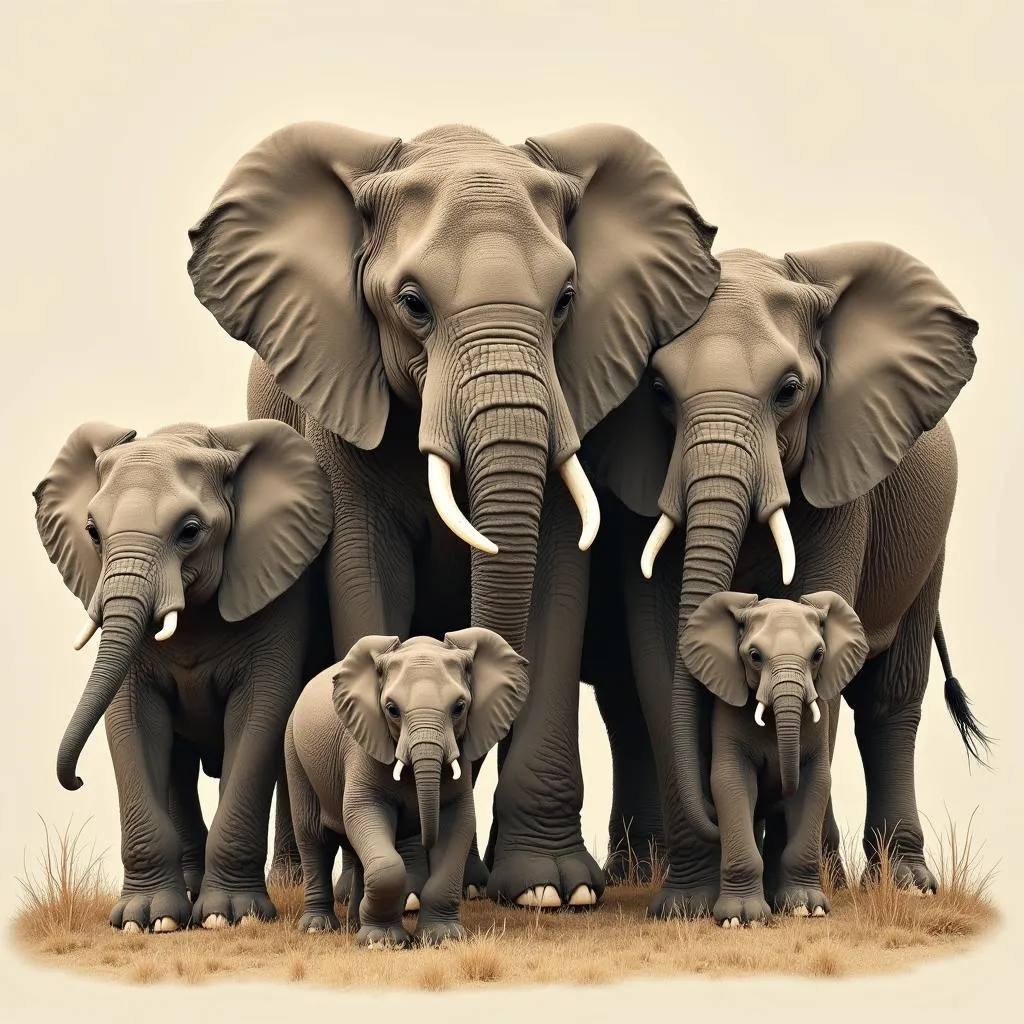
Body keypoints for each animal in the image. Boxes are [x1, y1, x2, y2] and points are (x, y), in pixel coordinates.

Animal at [32, 419, 331, 933]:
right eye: (92, 532)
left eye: (190, 531)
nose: (74, 781)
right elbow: (130, 721)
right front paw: (149, 921)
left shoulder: (278, 592)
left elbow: (259, 715)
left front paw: (228, 917)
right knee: (177, 765)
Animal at [184, 119, 720, 913]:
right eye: (412, 303)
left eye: (566, 300)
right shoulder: (341, 402)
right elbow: (366, 573)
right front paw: (411, 887)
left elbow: (552, 583)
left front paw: (548, 890)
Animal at [286, 626, 528, 946]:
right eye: (392, 710)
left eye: (459, 707)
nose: (425, 837)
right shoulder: (362, 746)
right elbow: (364, 813)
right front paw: (382, 943)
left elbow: (459, 822)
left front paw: (443, 938)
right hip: (294, 754)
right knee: (315, 839)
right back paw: (318, 927)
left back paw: (355, 923)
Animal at [684, 589, 868, 925]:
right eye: (755, 656)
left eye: (818, 654)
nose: (782, 786)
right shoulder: (727, 714)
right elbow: (730, 782)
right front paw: (741, 918)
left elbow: (816, 782)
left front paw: (807, 908)